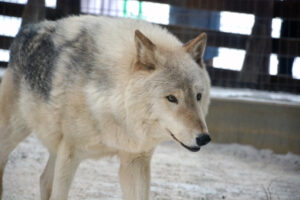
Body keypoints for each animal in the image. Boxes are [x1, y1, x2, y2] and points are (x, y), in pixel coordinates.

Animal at [0, 14, 211, 199]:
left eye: (198, 96)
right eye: (172, 98)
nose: (204, 138)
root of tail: (26, 30)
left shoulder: (135, 161)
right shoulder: (69, 154)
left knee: (44, 180)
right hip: (15, 132)